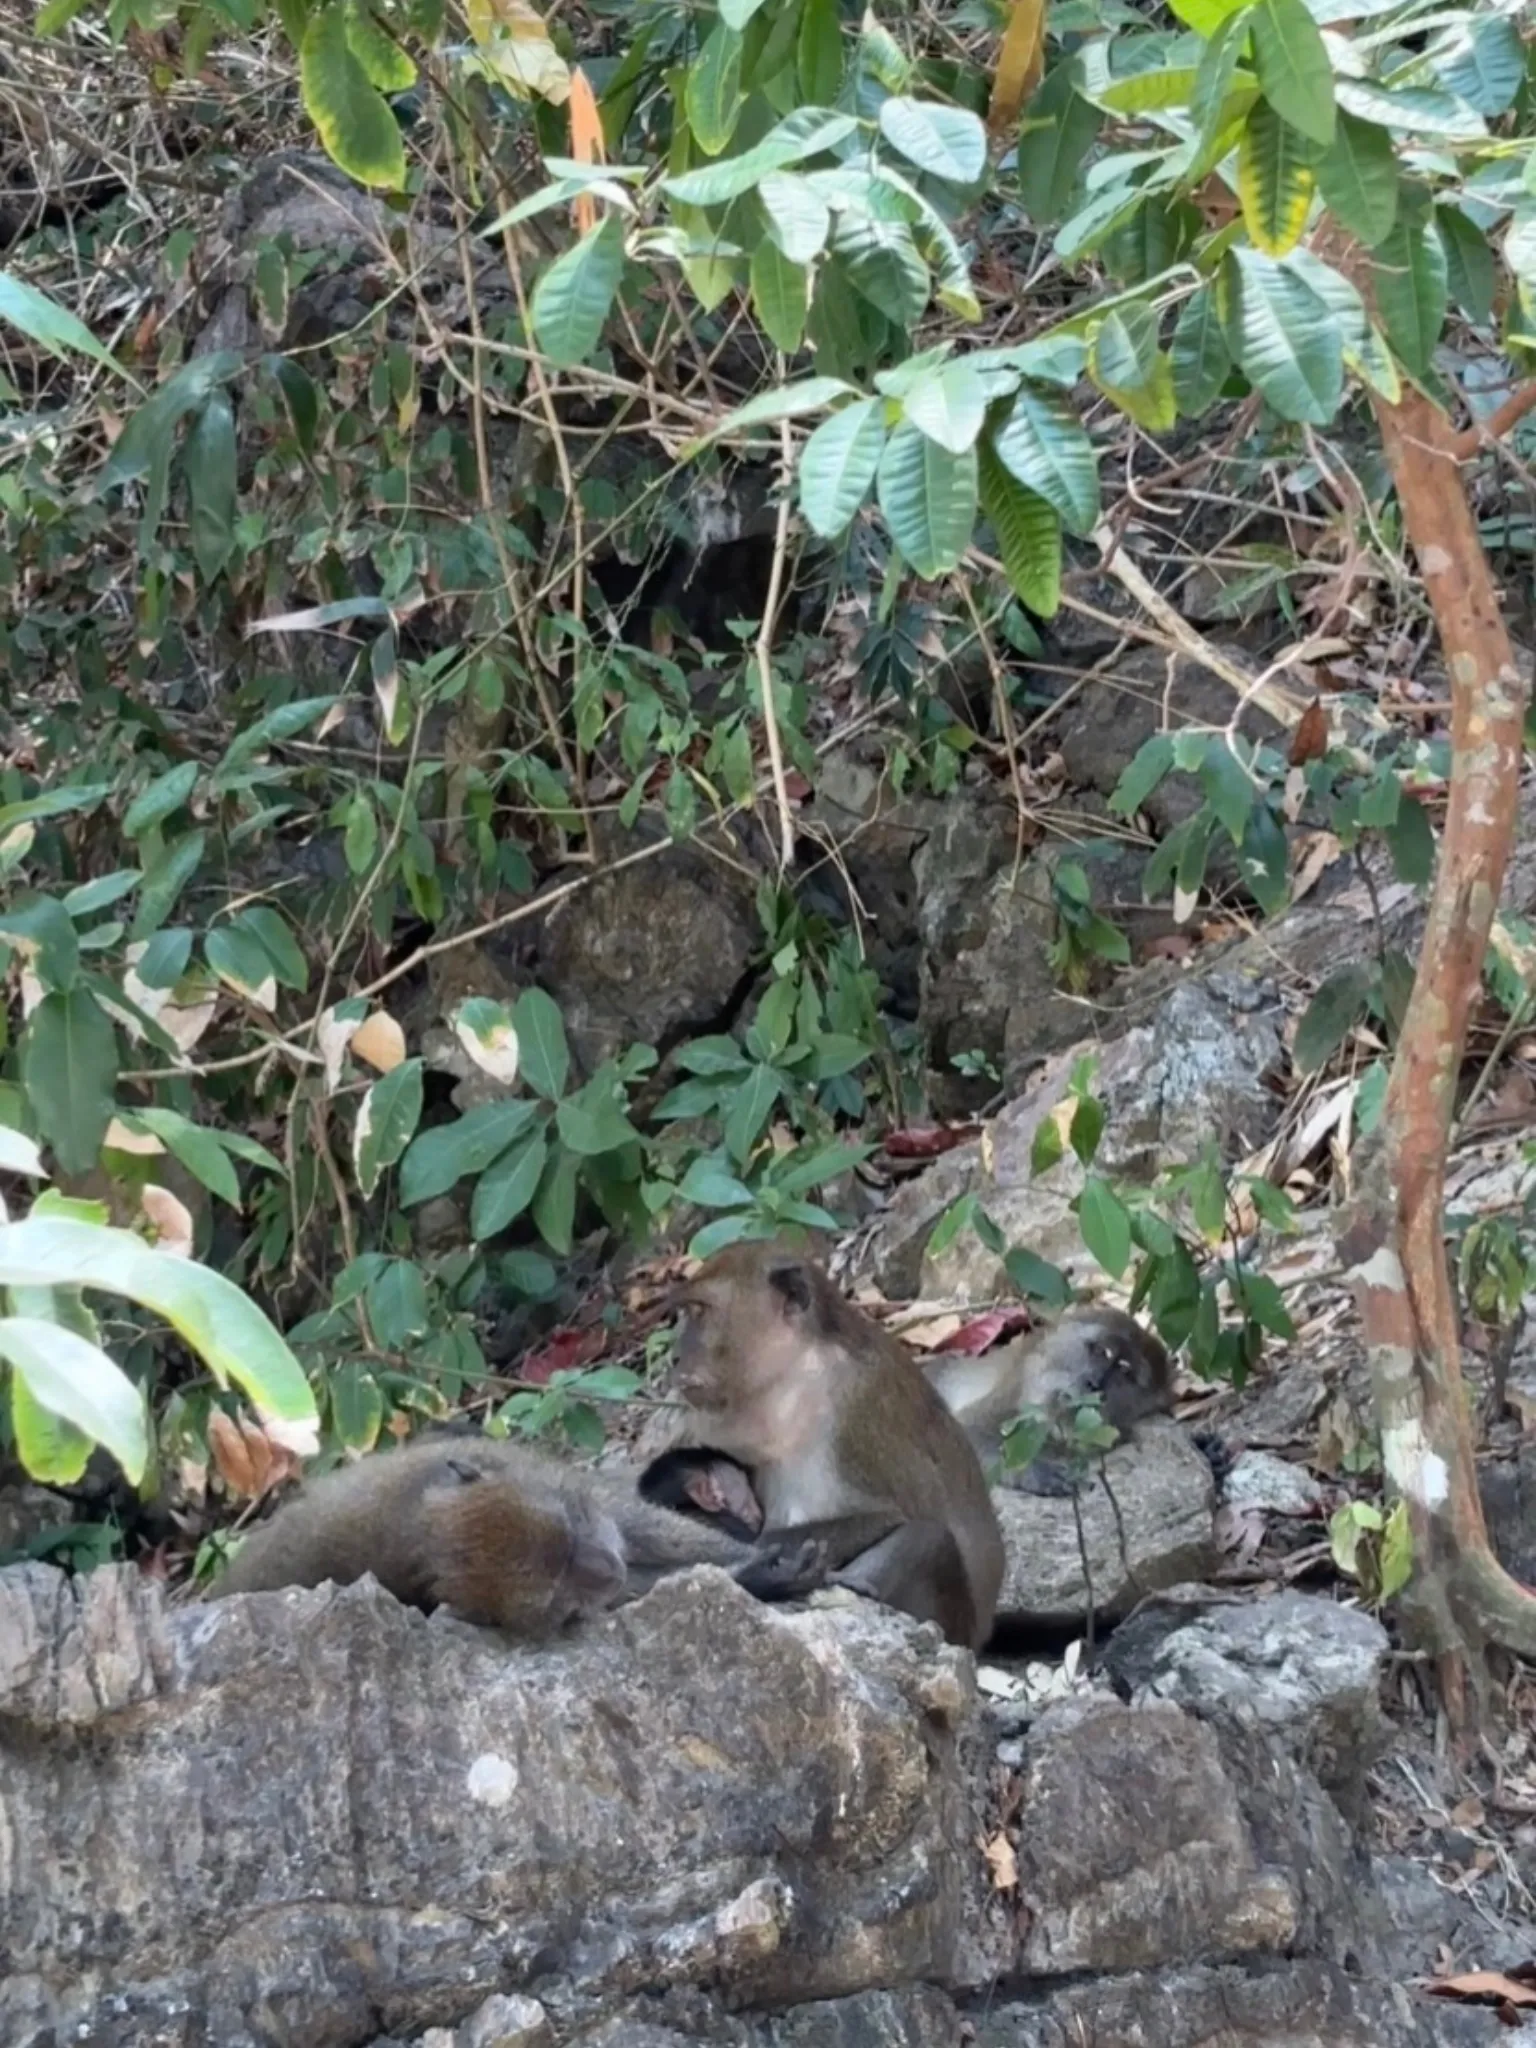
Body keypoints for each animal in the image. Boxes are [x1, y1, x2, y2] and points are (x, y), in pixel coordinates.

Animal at [660, 1239, 1006, 1652]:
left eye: (700, 1311)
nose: (676, 1356)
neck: (795, 1376)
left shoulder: (857, 1406)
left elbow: (886, 1516)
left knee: (928, 1536)